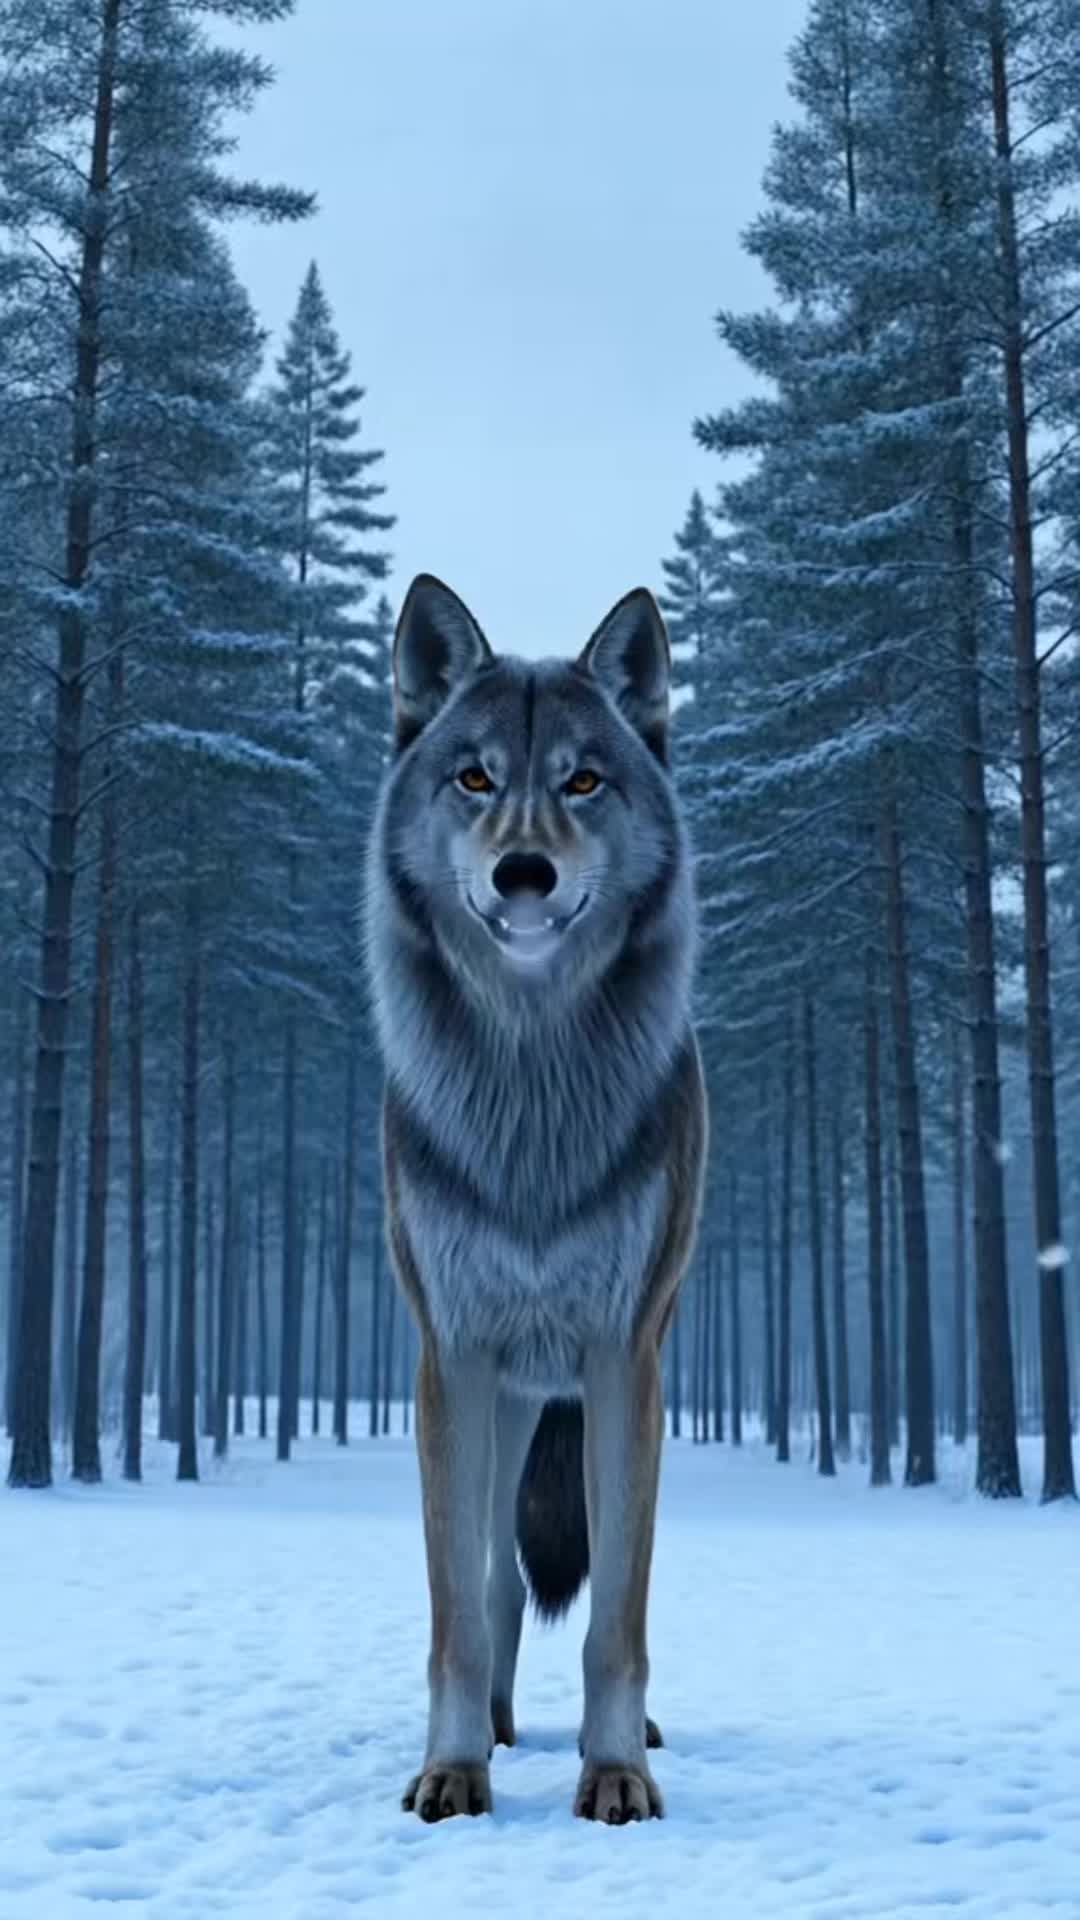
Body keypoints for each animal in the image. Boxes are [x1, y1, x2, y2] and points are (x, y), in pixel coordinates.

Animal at [365, 573, 707, 1825]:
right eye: (474, 777)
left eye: (582, 780)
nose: (523, 872)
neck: (532, 1096)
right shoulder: (452, 1359)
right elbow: (459, 1611)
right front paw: (453, 1770)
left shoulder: (625, 1360)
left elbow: (618, 1617)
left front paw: (616, 1773)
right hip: (510, 1401)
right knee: (498, 1581)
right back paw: (505, 1731)